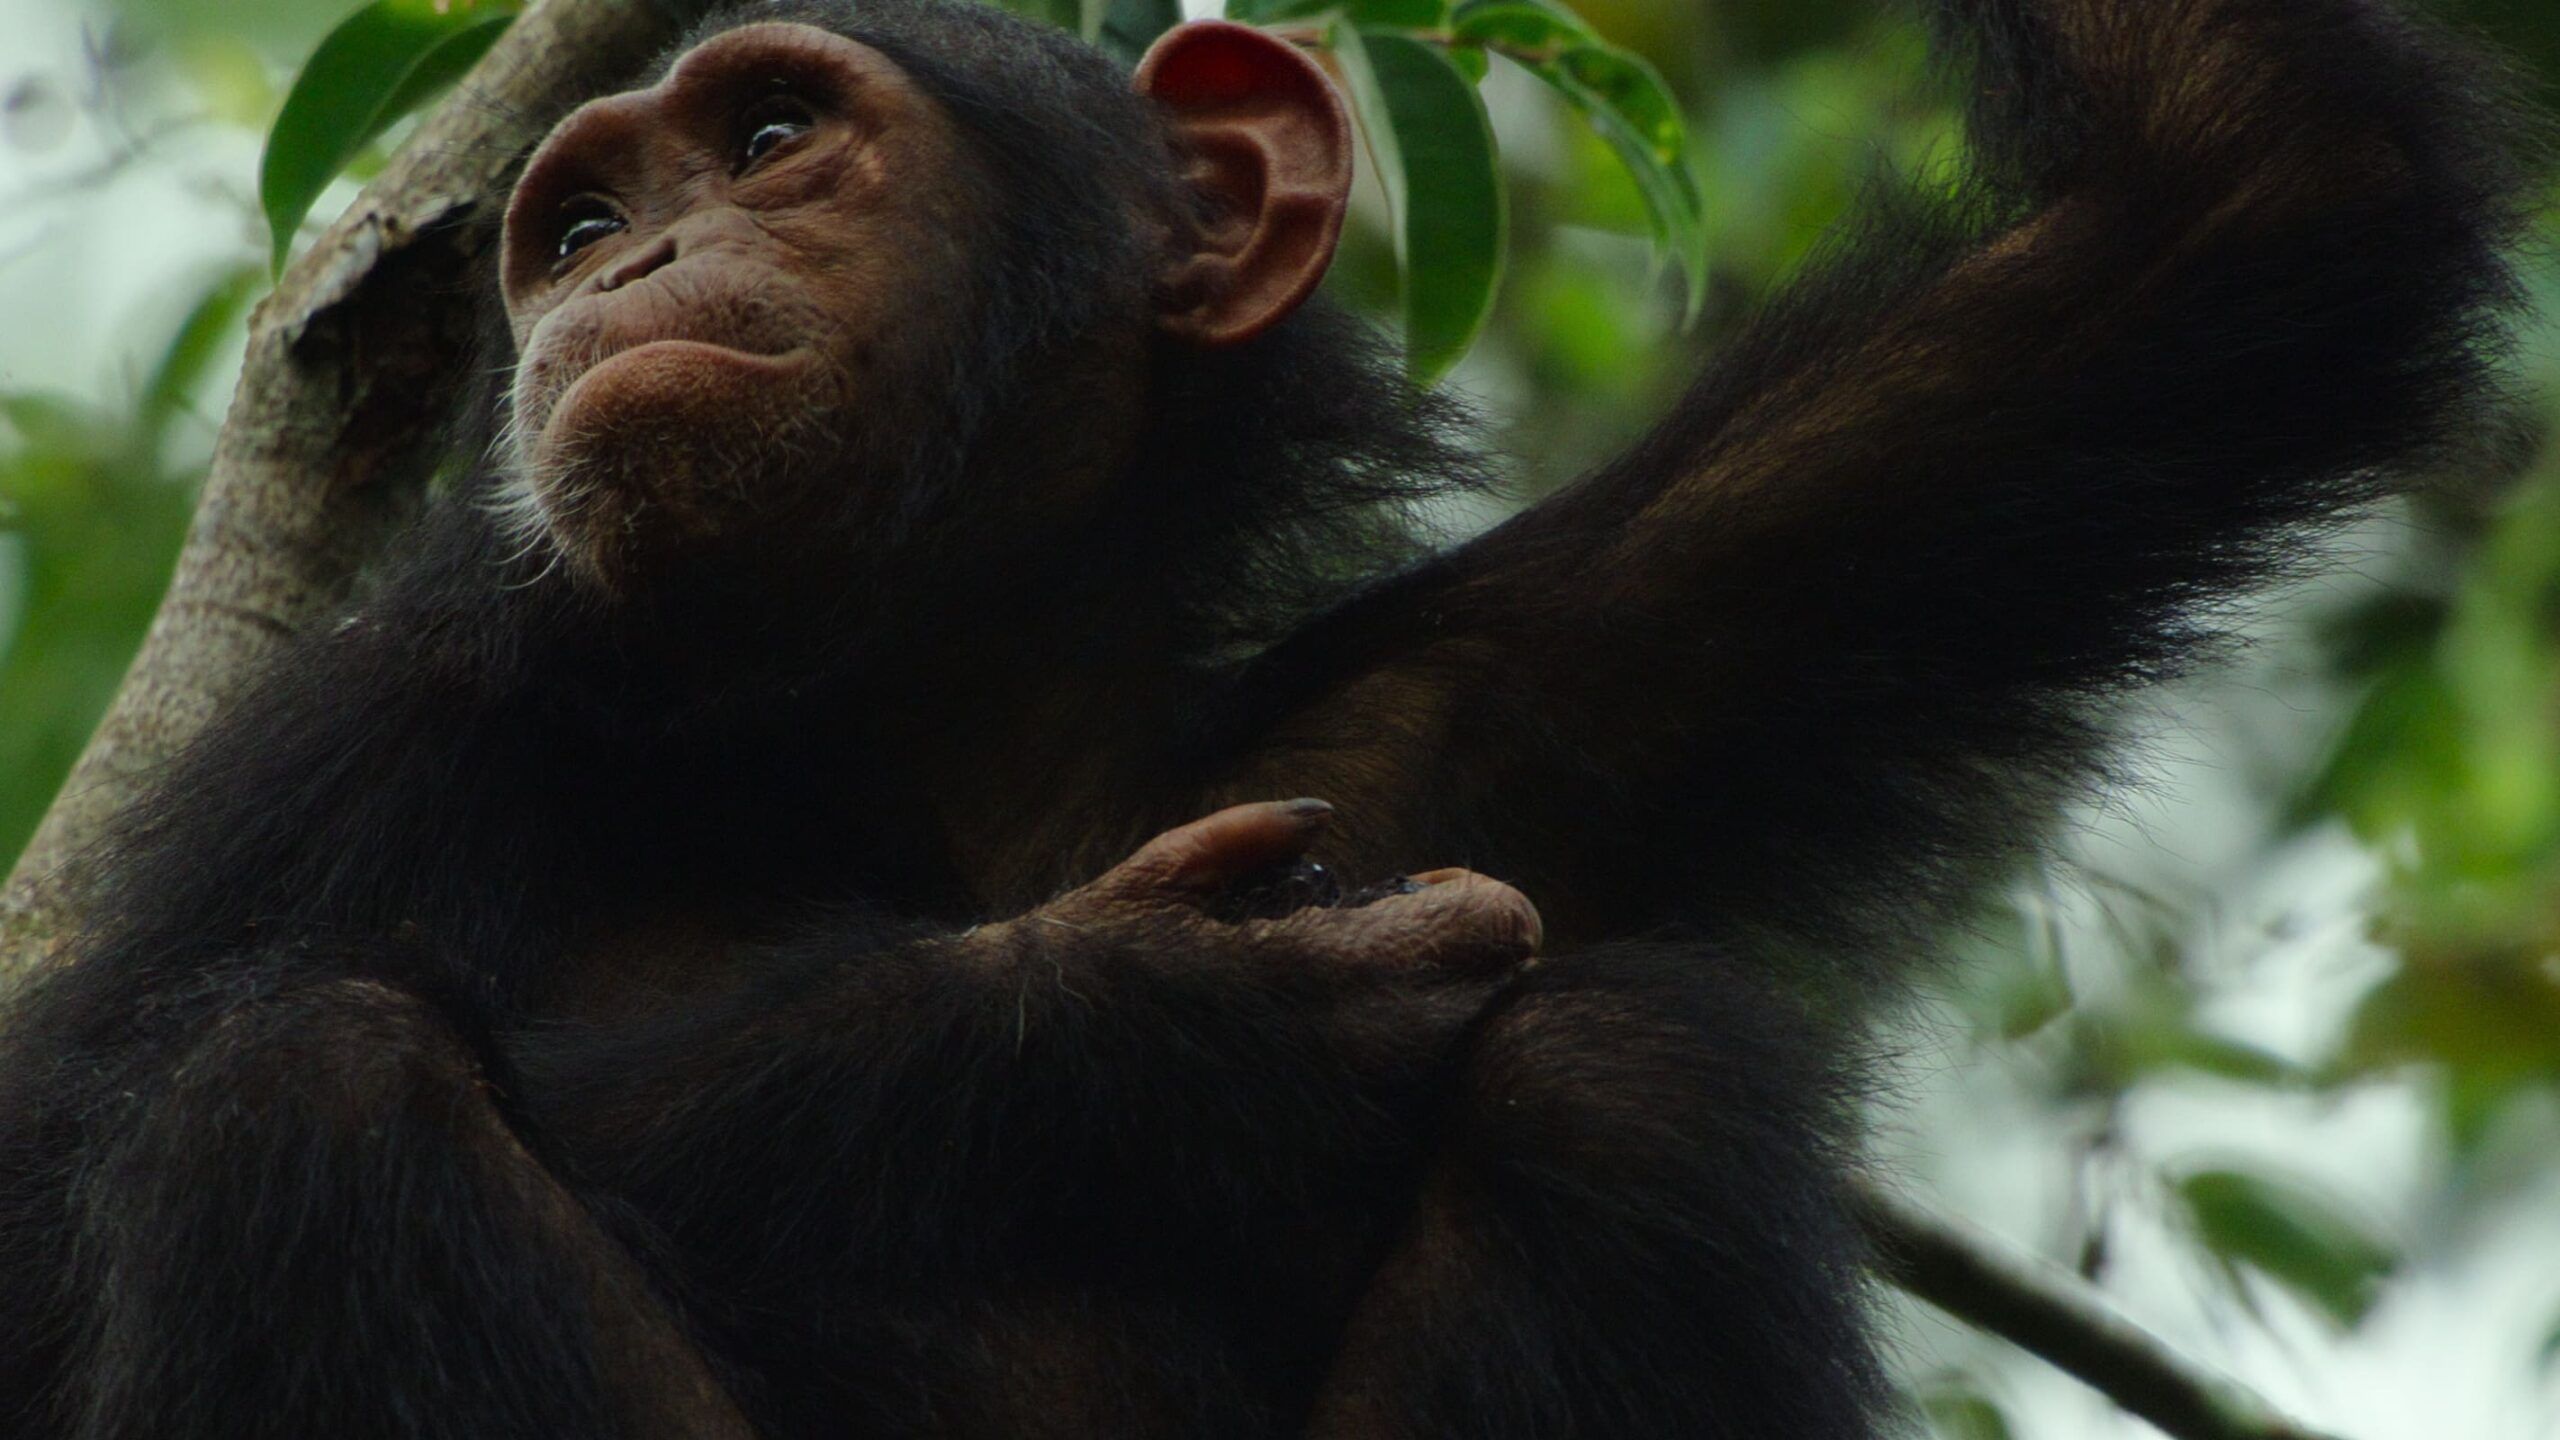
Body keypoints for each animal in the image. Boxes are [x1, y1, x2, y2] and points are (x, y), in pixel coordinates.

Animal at [0, 0, 2531, 1436]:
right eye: (581, 215)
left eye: (769, 142)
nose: (624, 268)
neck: (924, 720)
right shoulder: (355, 743)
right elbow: (67, 1167)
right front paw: (1137, 1011)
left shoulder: (1567, 664)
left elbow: (2241, 193)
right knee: (289, 1085)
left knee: (1617, 1060)